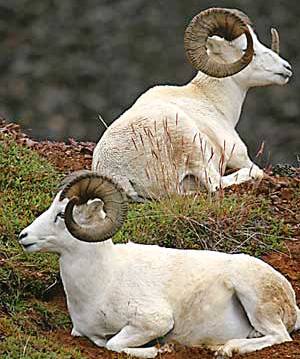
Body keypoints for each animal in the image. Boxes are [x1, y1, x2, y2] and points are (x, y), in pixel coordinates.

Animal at [19, 173, 300, 358]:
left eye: (60, 214)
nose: (23, 237)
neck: (102, 282)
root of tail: (289, 298)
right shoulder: (85, 332)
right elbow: (104, 342)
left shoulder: (154, 322)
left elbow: (113, 345)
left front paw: (161, 348)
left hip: (253, 297)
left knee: (279, 336)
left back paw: (226, 348)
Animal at [92, 6, 292, 200]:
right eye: (246, 49)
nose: (287, 68)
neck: (209, 99)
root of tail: (117, 173)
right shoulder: (238, 155)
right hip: (194, 147)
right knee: (217, 183)